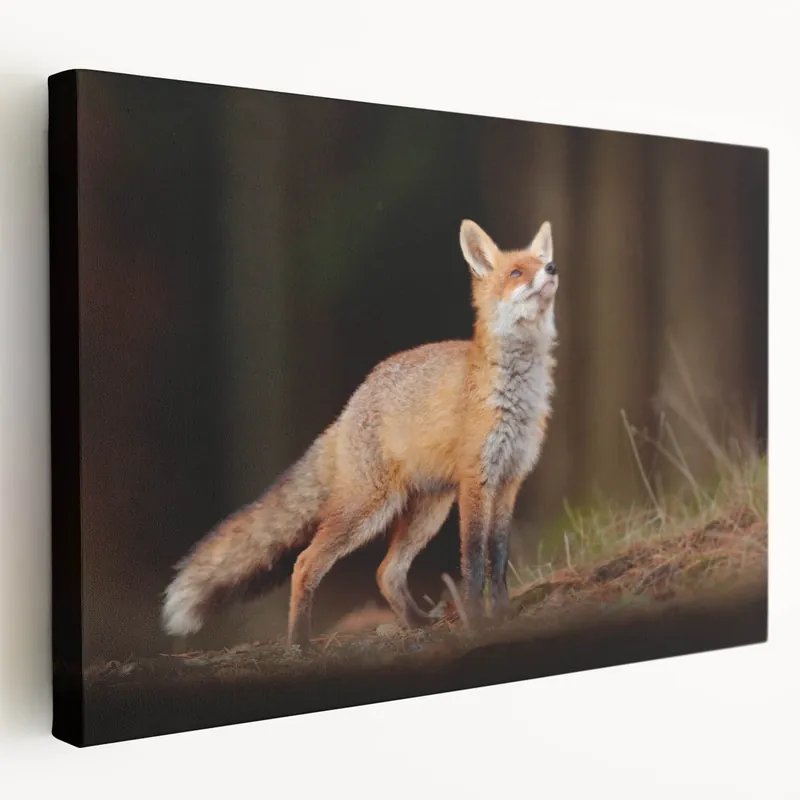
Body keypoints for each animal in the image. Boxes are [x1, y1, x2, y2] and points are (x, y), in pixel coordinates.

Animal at [162, 218, 559, 649]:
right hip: (369, 508)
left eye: (541, 261)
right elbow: (473, 559)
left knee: (386, 571)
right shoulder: (477, 480)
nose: (552, 268)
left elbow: (498, 557)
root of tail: (349, 407)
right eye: (516, 273)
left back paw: (416, 624)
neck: (514, 394)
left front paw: (502, 615)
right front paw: (478, 622)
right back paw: (300, 641)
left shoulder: (510, 479)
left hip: (427, 510)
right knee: (306, 562)